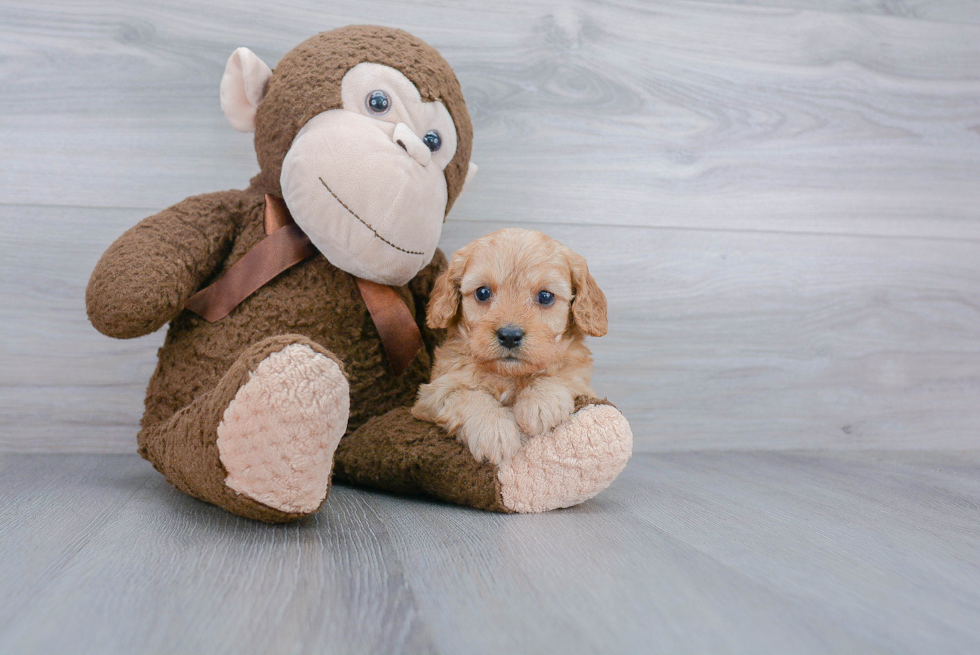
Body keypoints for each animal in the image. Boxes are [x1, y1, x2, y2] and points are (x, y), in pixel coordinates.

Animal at [412, 228, 604, 464]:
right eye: (482, 293)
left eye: (545, 296)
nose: (510, 336)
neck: (509, 375)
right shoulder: (432, 393)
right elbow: (466, 395)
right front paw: (495, 430)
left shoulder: (583, 382)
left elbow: (564, 372)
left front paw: (540, 402)